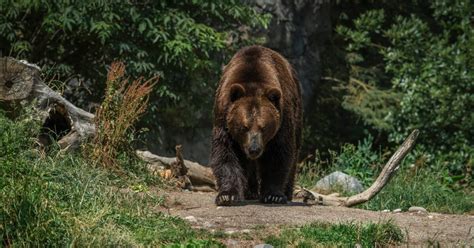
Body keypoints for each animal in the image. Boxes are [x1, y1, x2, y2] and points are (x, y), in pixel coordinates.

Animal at [209, 46, 302, 205]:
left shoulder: (283, 118)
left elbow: (279, 153)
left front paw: (273, 195)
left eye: (264, 127)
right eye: (244, 127)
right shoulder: (224, 117)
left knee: (294, 154)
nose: (254, 149)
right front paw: (227, 195)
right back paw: (250, 192)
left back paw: (286, 193)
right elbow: (226, 152)